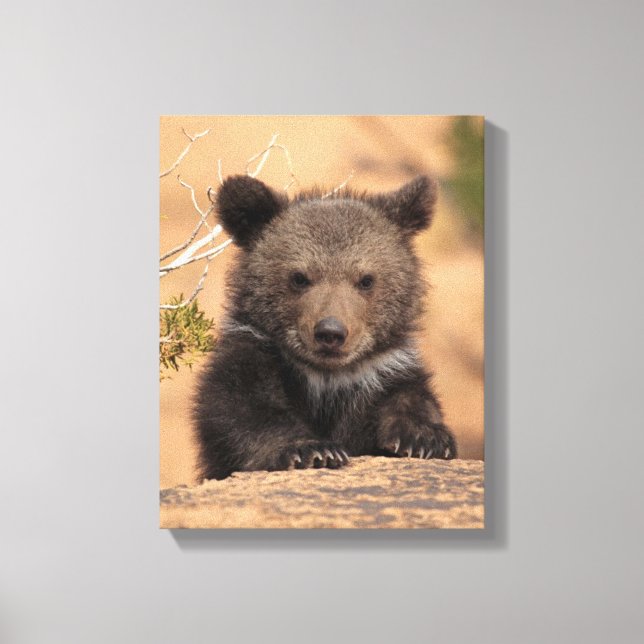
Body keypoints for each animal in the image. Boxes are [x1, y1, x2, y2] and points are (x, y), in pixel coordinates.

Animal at [193, 174, 457, 480]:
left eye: (366, 279)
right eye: (299, 277)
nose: (330, 332)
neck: (327, 380)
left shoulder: (383, 372)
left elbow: (410, 397)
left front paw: (424, 438)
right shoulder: (254, 357)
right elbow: (243, 409)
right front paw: (312, 449)